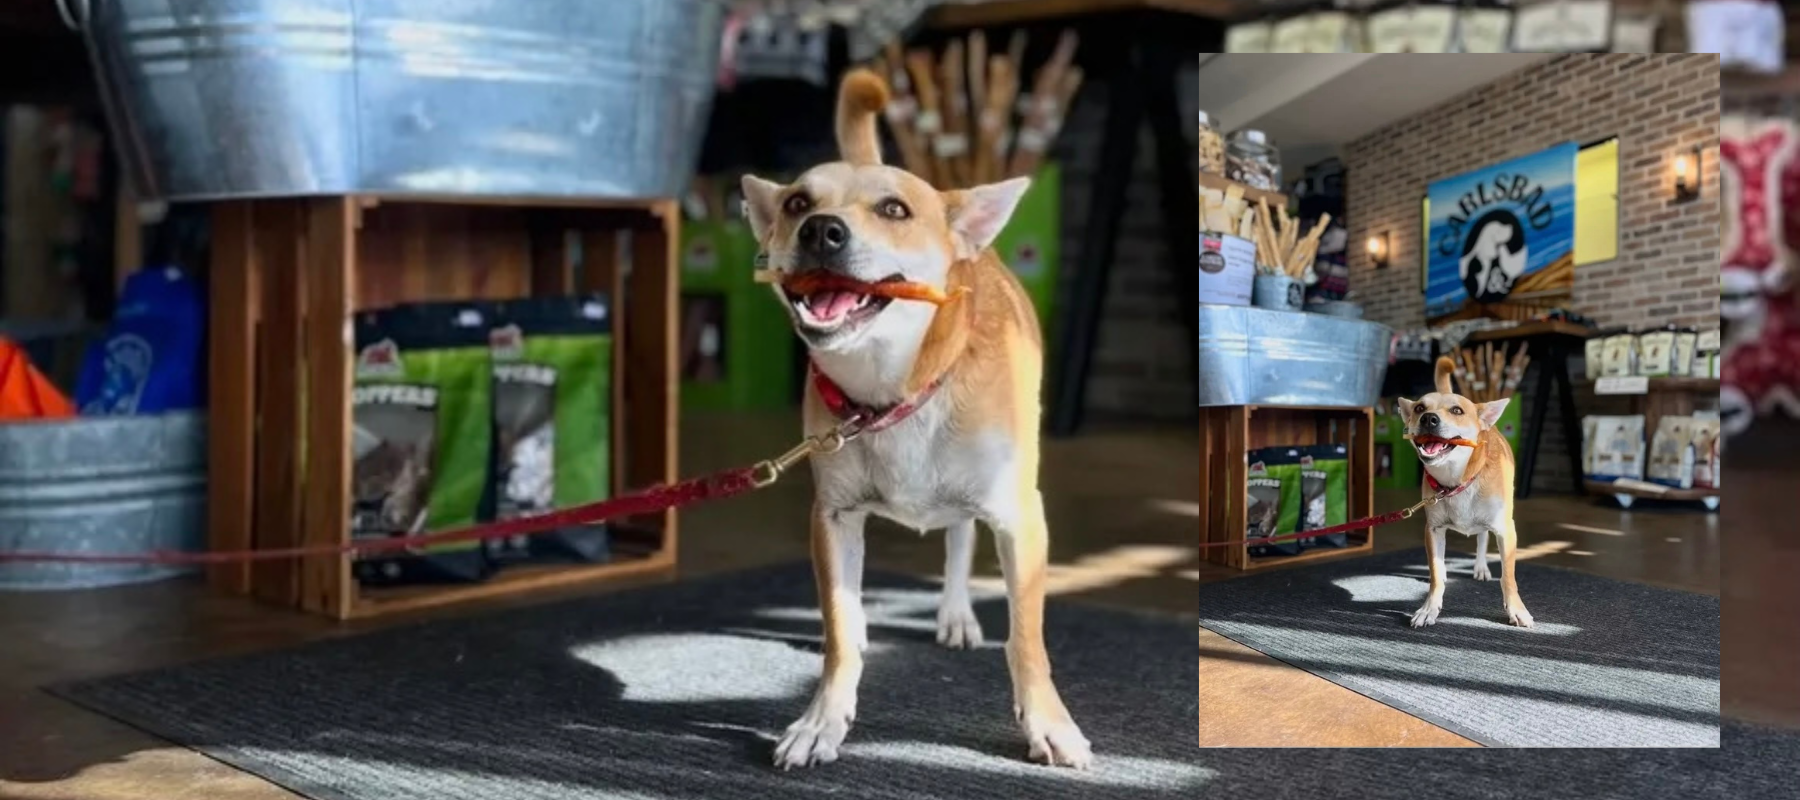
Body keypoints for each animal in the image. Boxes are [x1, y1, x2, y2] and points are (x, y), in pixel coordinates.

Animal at [738, 68, 1087, 767]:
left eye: (894, 210)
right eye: (796, 204)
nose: (821, 229)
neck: (891, 389)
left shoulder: (1020, 519)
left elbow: (1027, 637)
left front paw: (1048, 722)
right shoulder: (833, 519)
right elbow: (837, 627)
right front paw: (823, 719)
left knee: (959, 540)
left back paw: (955, 613)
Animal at [1389, 358, 1533, 627]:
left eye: (1457, 411)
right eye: (1419, 408)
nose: (1428, 418)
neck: (1456, 480)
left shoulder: (1506, 531)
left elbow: (1508, 576)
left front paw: (1516, 610)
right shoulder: (1433, 530)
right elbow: (1435, 573)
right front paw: (1429, 608)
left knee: (1482, 538)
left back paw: (1480, 567)